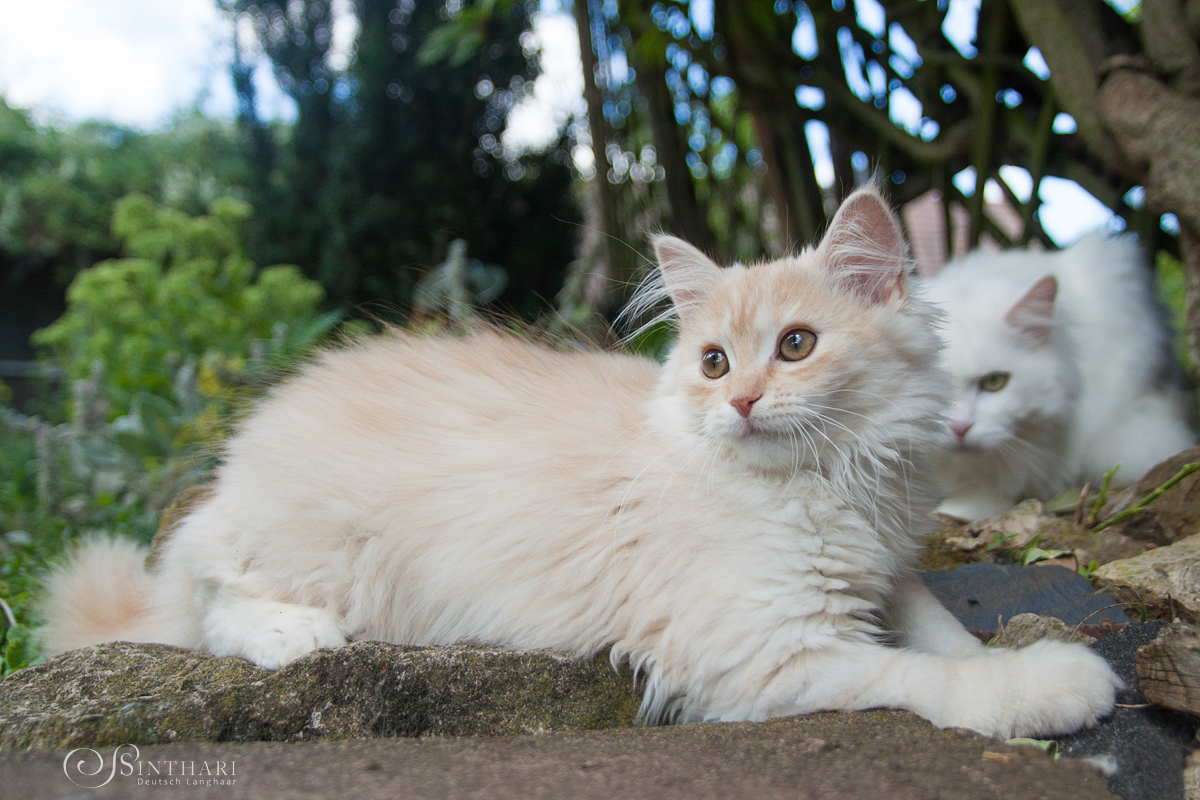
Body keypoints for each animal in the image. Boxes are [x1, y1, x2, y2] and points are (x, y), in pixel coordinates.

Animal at [42, 188, 1118, 738]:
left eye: (797, 346)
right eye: (714, 362)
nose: (739, 403)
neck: (826, 483)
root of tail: (239, 462)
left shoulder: (886, 570)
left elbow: (944, 632)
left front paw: (1019, 650)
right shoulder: (765, 651)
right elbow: (924, 677)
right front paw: (1048, 687)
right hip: (310, 549)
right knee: (205, 594)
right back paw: (293, 635)